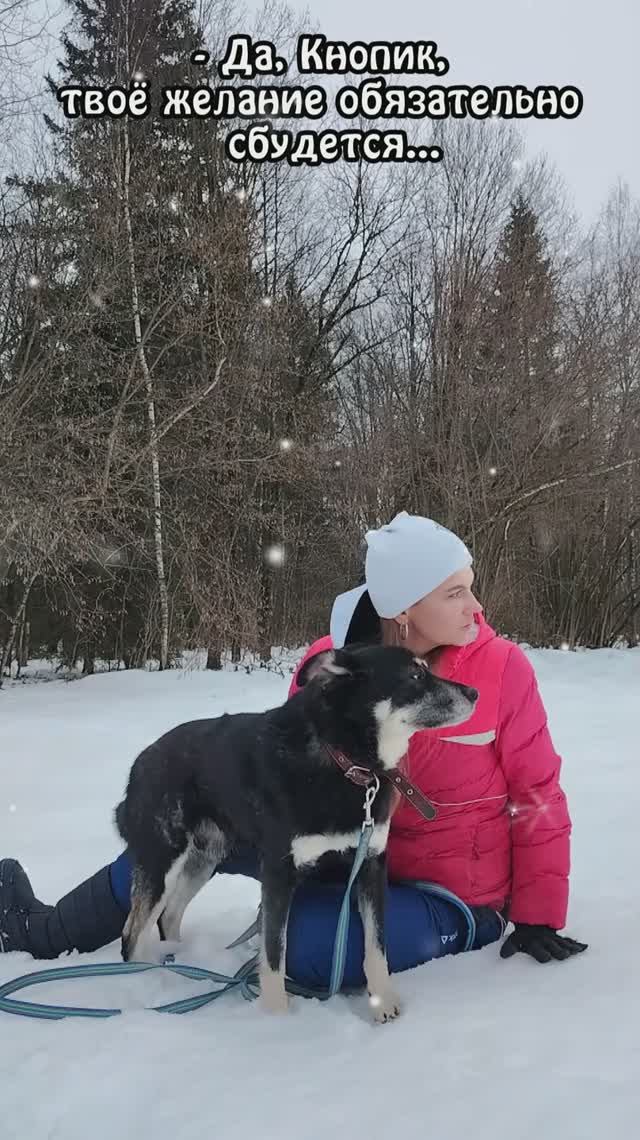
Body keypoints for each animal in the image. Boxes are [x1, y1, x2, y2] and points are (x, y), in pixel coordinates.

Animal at [113, 652, 474, 1026]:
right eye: (415, 675)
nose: (474, 693)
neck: (345, 761)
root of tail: (140, 763)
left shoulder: (371, 864)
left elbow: (376, 945)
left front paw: (382, 1002)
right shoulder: (278, 872)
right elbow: (274, 953)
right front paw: (278, 1020)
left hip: (203, 860)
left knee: (169, 915)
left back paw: (179, 960)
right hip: (162, 859)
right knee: (133, 933)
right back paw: (143, 981)